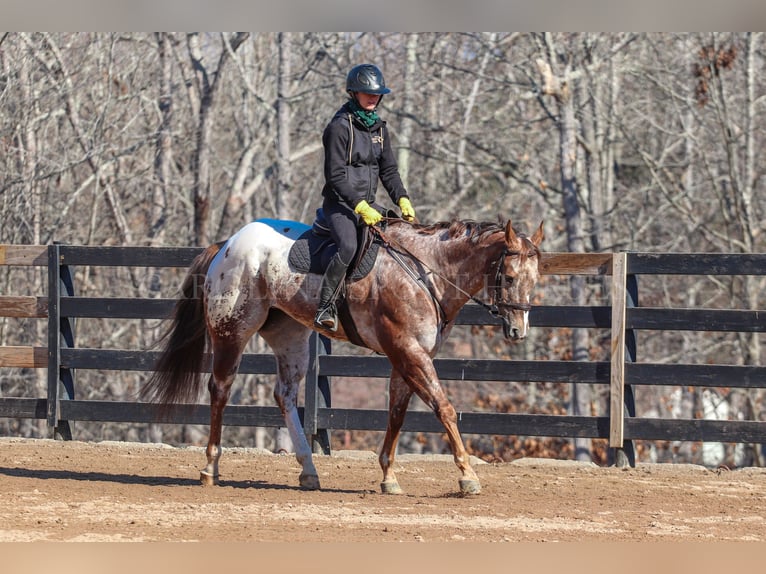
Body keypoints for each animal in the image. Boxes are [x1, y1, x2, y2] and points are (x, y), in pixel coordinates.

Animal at [140, 218, 544, 498]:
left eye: (535, 279)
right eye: (509, 277)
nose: (518, 331)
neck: (425, 273)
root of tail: (228, 243)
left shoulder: (407, 355)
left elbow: (397, 414)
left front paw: (388, 477)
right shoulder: (410, 353)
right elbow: (443, 408)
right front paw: (467, 476)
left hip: (291, 337)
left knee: (285, 395)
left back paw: (308, 471)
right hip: (232, 331)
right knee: (220, 390)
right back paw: (211, 467)